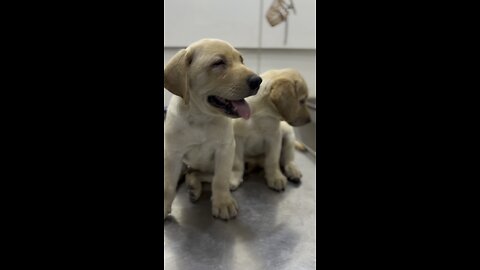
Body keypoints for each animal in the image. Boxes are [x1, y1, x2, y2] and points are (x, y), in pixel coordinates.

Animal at [165, 38, 262, 220]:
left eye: (241, 60)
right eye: (218, 63)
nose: (258, 80)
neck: (201, 118)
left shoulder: (225, 150)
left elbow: (220, 179)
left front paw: (223, 202)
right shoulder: (173, 154)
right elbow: (168, 184)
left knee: (199, 175)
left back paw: (194, 187)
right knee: (188, 173)